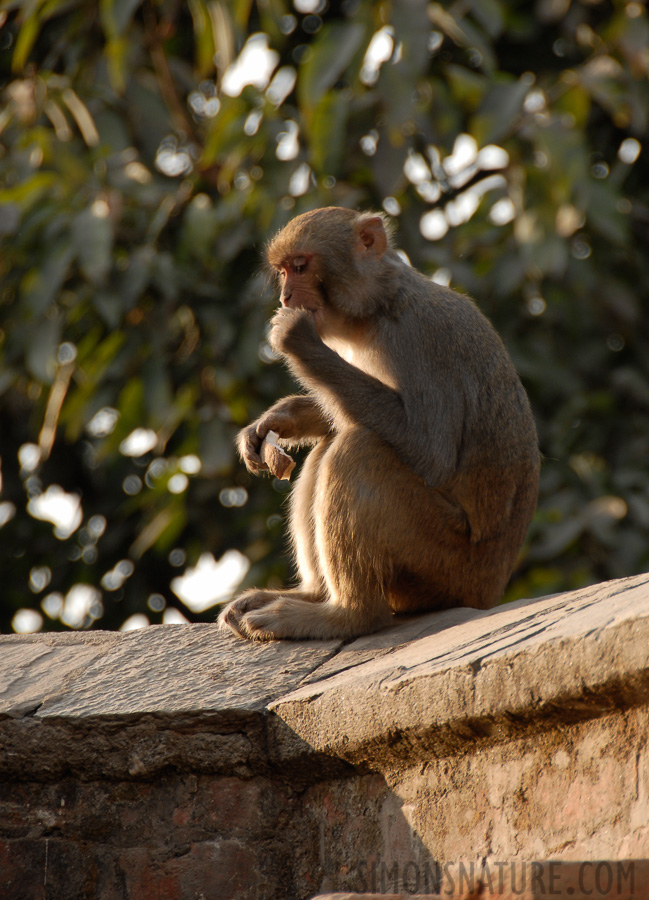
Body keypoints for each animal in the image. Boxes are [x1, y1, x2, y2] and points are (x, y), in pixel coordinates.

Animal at [218, 206, 536, 640]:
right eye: (283, 271)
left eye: (300, 267)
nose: (285, 297)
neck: (378, 309)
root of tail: (488, 591)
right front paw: (281, 418)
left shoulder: (420, 337)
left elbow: (431, 453)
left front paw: (296, 340)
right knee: (334, 444)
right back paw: (313, 594)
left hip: (446, 564)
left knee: (359, 449)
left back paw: (347, 614)